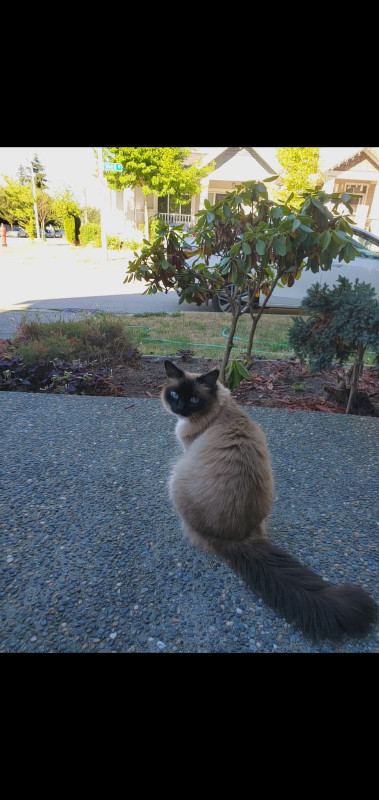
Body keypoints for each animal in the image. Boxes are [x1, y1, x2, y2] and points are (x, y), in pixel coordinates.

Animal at [162, 360, 378, 640]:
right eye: (175, 395)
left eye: (194, 400)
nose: (179, 408)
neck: (222, 410)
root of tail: (240, 538)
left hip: (175, 476)